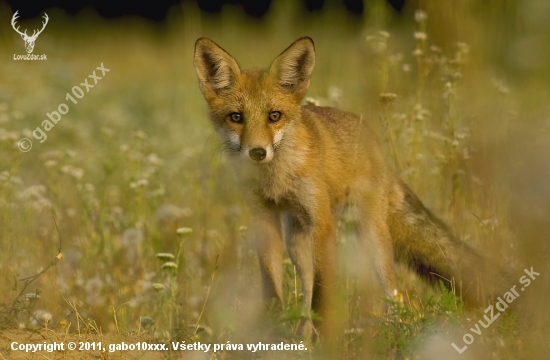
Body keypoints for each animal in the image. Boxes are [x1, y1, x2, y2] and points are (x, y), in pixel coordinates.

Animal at [195, 35, 512, 338]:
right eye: (236, 117)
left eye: (275, 116)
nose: (258, 152)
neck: (276, 179)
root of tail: (376, 147)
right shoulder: (264, 219)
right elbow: (273, 291)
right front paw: (272, 336)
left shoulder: (323, 223)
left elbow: (322, 297)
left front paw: (324, 343)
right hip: (297, 240)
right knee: (306, 295)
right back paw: (302, 339)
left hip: (372, 239)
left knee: (397, 299)